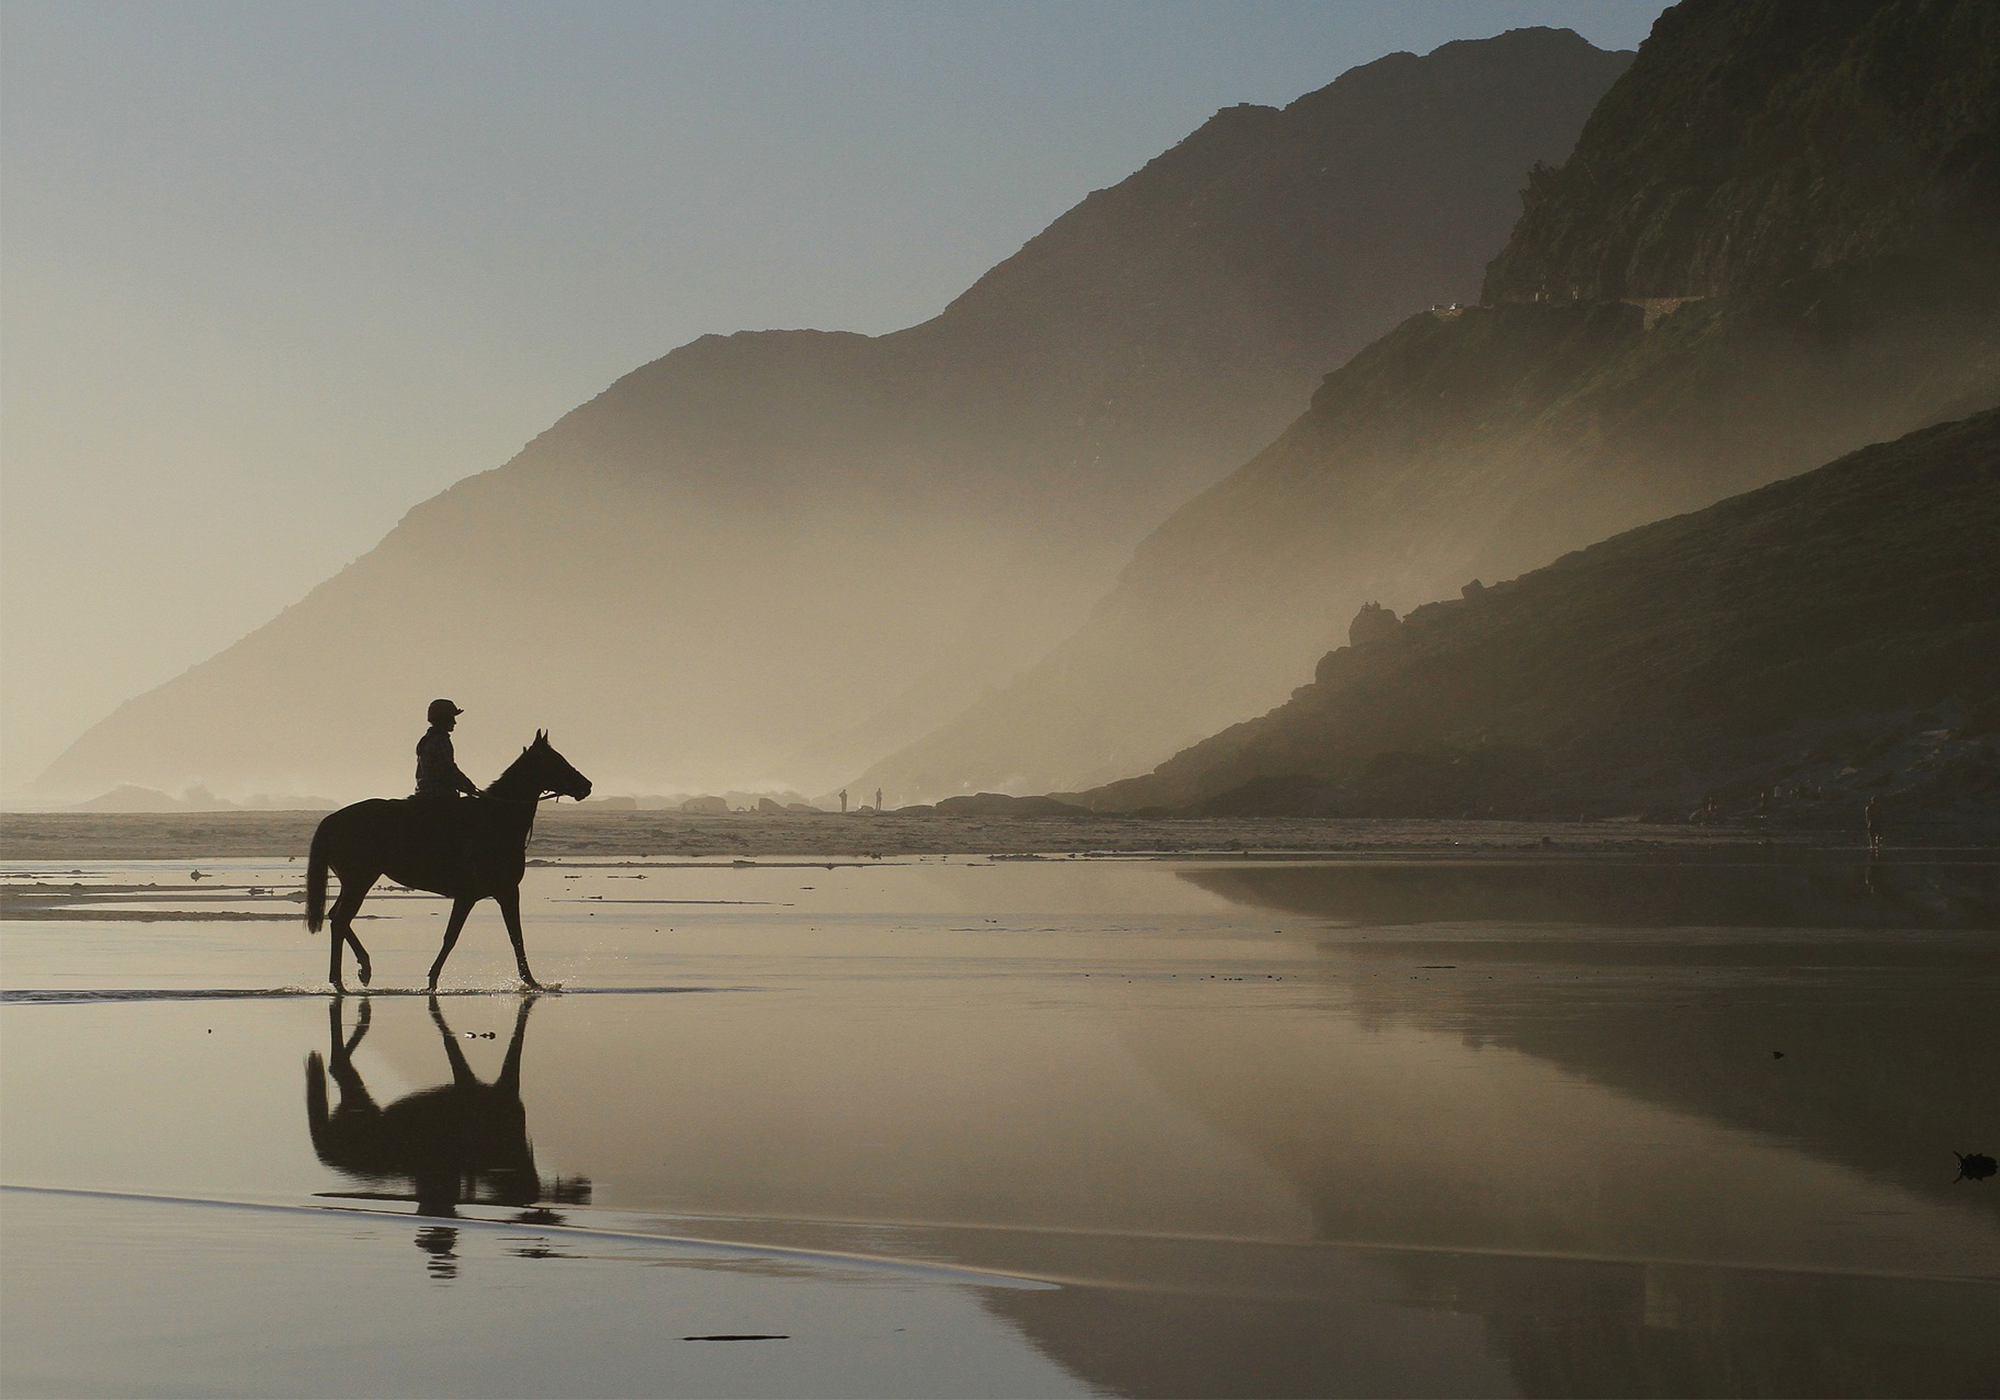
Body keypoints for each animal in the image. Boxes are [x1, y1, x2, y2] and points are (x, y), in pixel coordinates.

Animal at [300, 728, 588, 988]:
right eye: (555, 760)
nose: (587, 785)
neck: (496, 819)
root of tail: (331, 820)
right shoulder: (488, 893)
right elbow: (464, 936)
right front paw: (433, 980)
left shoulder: (497, 893)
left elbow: (506, 935)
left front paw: (530, 980)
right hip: (359, 882)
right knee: (340, 920)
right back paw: (347, 977)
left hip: (353, 883)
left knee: (336, 917)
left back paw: (356, 971)